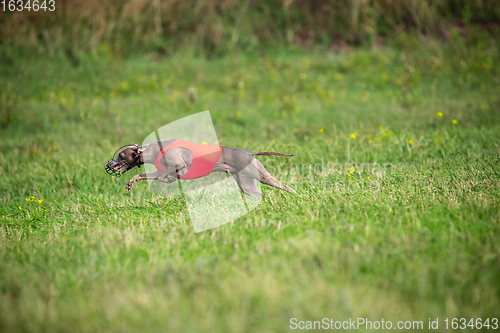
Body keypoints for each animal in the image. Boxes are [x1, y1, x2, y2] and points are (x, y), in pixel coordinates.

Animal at [103, 139, 294, 196]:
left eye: (121, 155)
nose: (108, 164)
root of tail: (248, 152)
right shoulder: (159, 169)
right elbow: (146, 176)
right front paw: (130, 183)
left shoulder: (180, 165)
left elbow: (163, 176)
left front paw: (169, 179)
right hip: (246, 184)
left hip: (260, 175)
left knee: (285, 186)